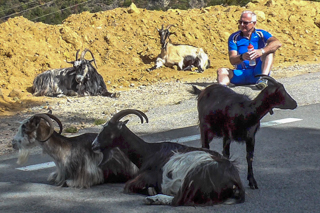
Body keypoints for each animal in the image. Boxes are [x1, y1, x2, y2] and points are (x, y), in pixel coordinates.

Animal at [92, 109, 245, 206]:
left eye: (106, 130)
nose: (93, 145)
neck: (148, 152)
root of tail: (234, 179)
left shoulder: (145, 176)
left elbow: (128, 186)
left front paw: (150, 191)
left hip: (195, 175)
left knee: (179, 201)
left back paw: (153, 199)